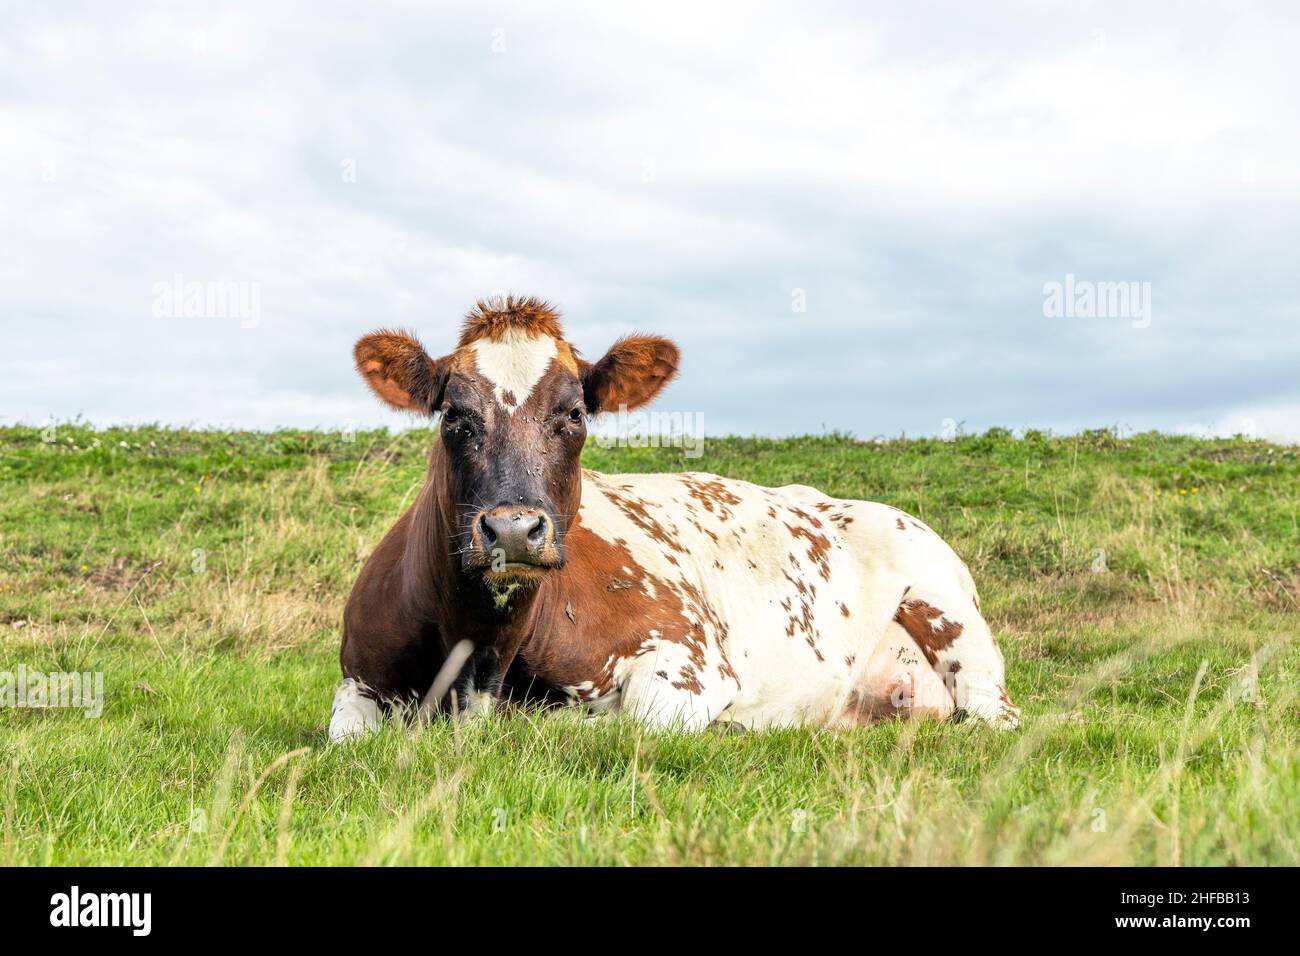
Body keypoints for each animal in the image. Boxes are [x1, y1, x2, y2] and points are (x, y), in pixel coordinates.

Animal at [325, 297, 1013, 738]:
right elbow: (347, 735)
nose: (514, 530)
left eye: (575, 413)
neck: (481, 656)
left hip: (954, 623)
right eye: (453, 414)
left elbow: (621, 726)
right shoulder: (357, 683)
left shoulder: (687, 657)